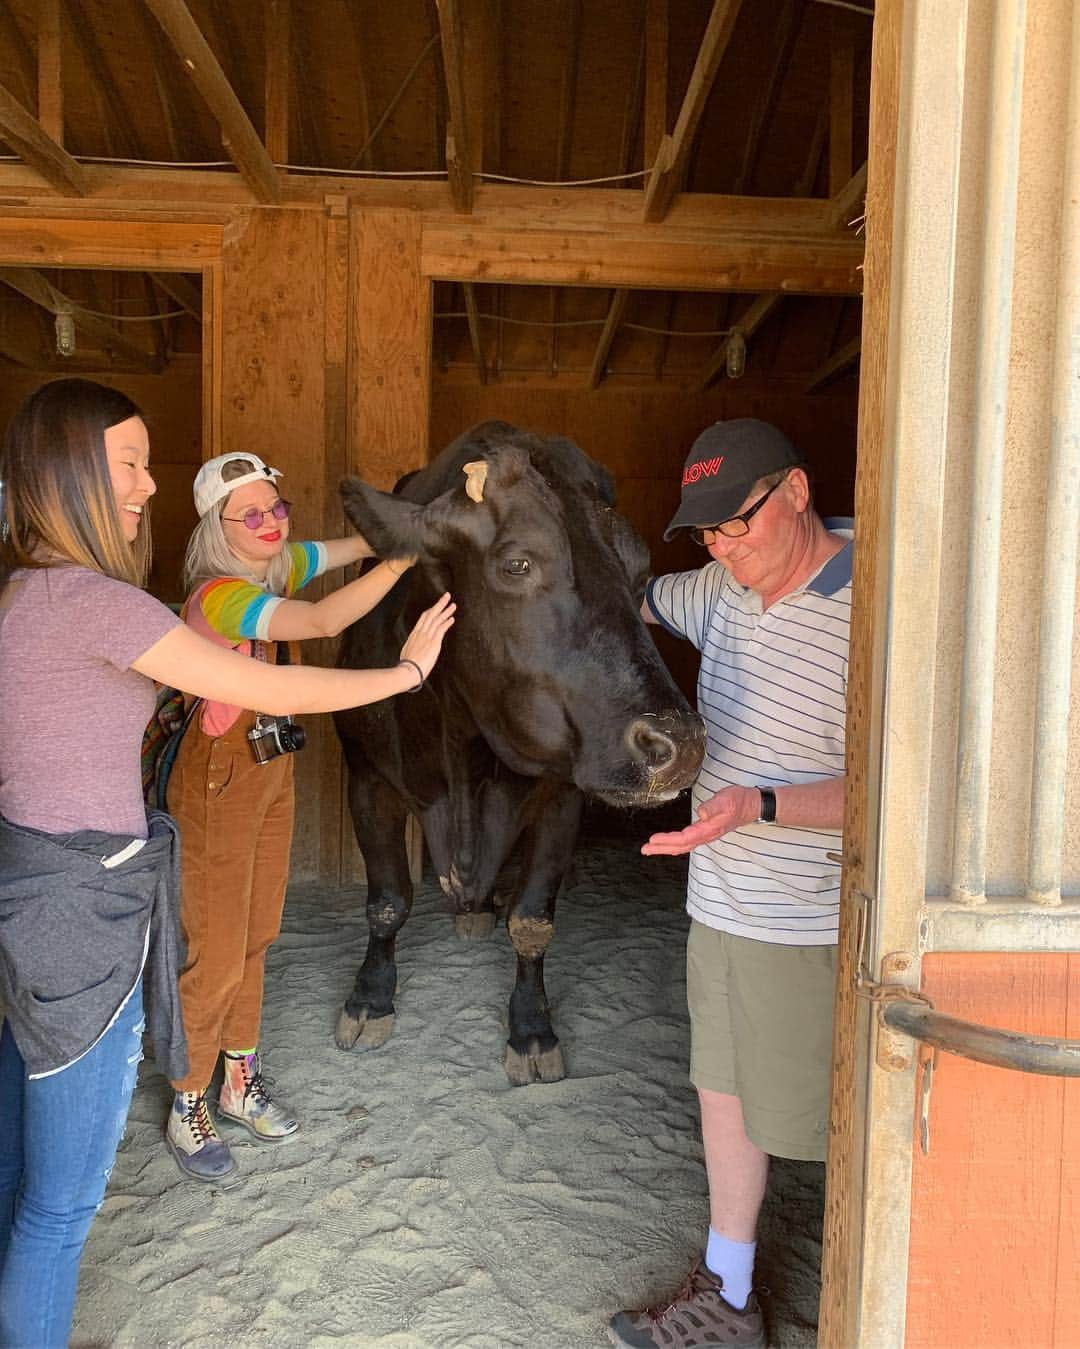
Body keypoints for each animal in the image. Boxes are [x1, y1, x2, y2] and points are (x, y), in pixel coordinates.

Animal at [337, 420, 706, 1084]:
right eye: (517, 563)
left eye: (641, 571)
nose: (682, 744)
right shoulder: (367, 778)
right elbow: (386, 903)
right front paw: (369, 997)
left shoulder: (563, 796)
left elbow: (533, 922)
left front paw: (532, 1030)